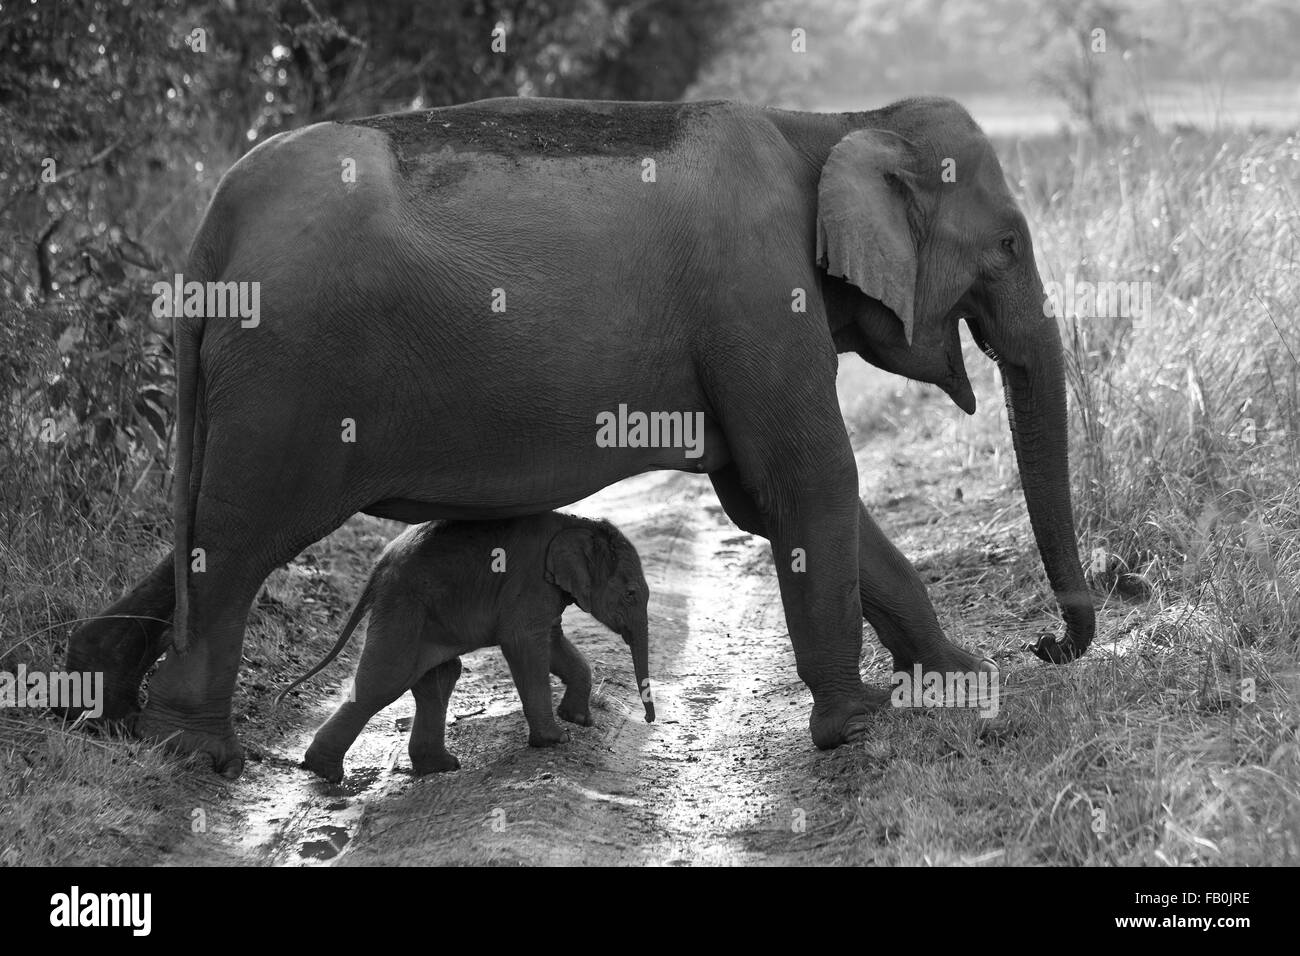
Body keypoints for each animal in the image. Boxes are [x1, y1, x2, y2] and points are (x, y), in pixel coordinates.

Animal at [275, 512, 653, 784]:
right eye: (631, 593)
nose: (649, 720)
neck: (580, 523)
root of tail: (378, 565)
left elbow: (552, 640)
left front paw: (579, 721)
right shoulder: (528, 583)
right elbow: (524, 641)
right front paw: (556, 740)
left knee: (438, 676)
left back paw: (440, 766)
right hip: (404, 604)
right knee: (386, 681)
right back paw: (324, 771)